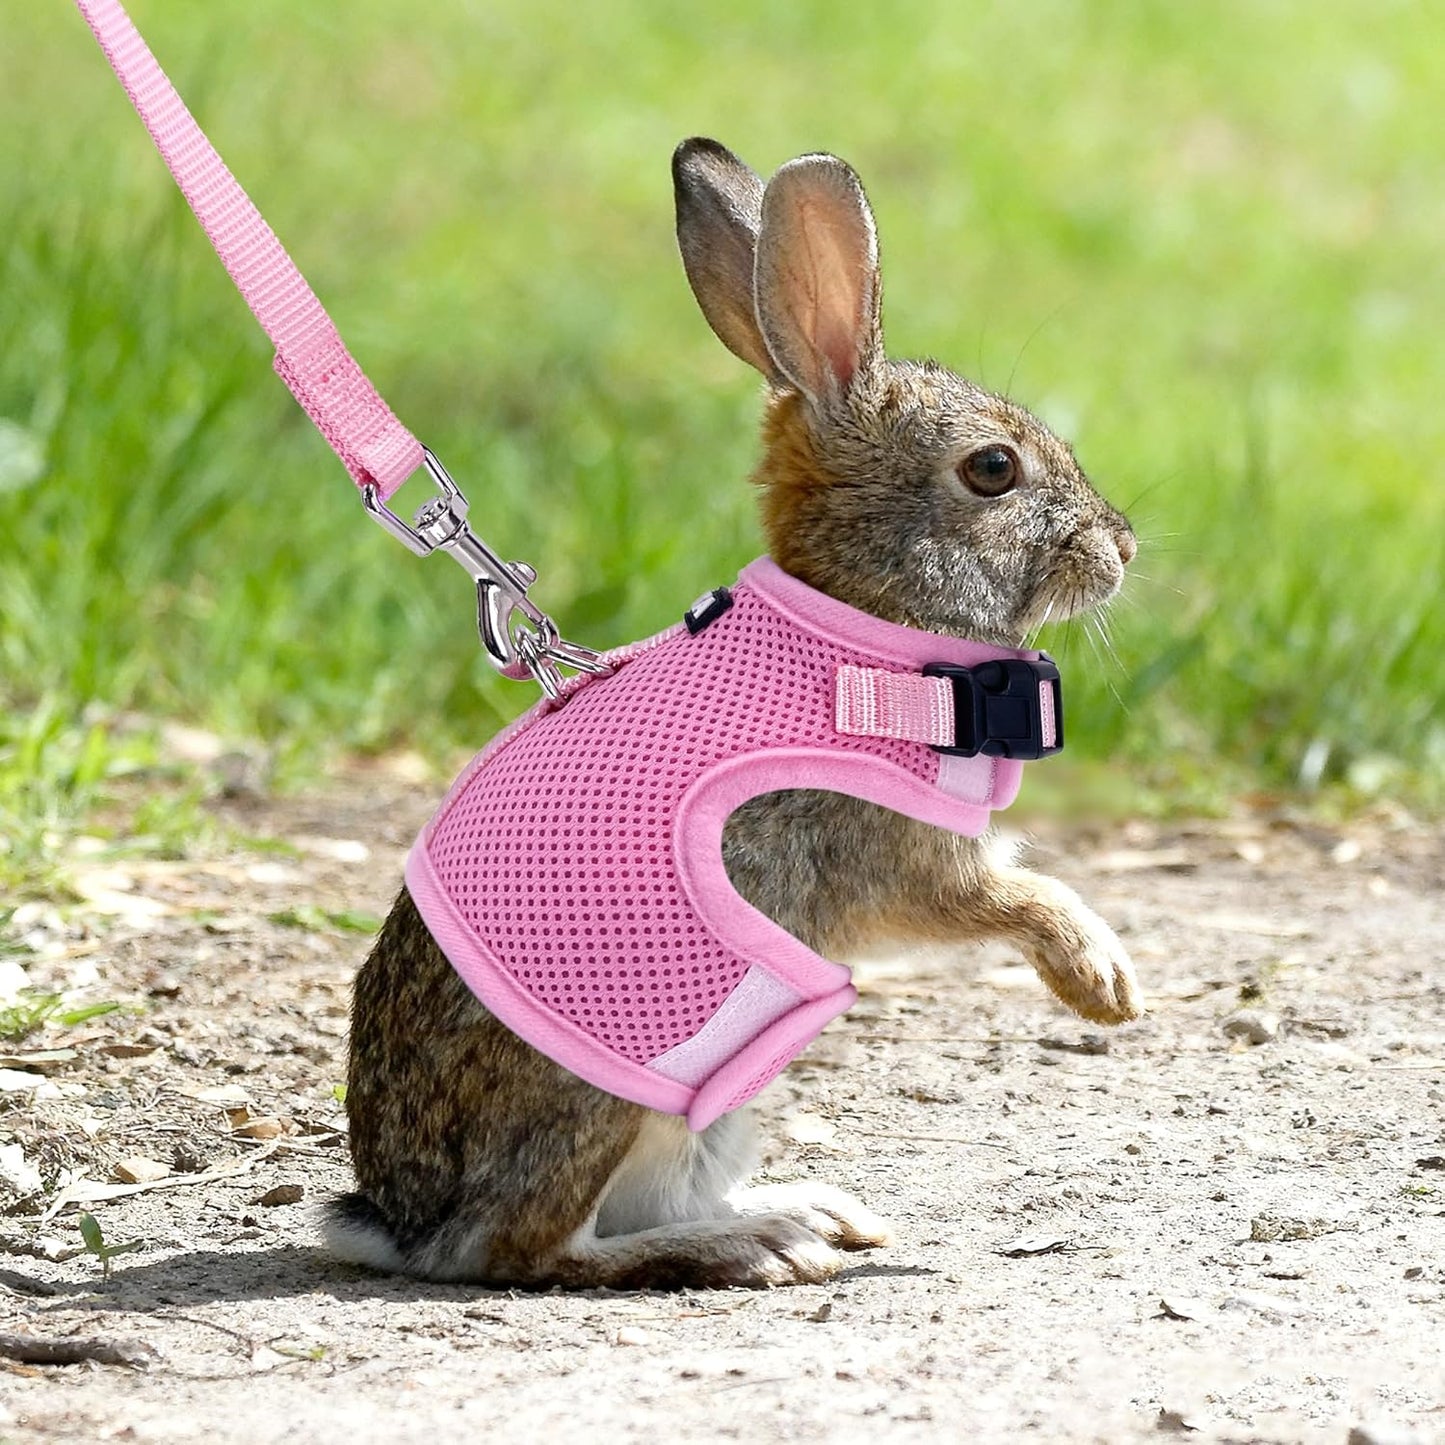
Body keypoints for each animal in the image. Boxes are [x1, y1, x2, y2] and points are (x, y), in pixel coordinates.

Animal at [327, 136, 1142, 1290]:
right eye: (993, 469)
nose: (1121, 548)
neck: (866, 625)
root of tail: (401, 1219)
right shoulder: (895, 856)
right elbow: (1016, 898)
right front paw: (1102, 982)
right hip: (622, 1088)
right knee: (534, 1247)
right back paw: (753, 1243)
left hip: (716, 1104)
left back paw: (805, 1210)